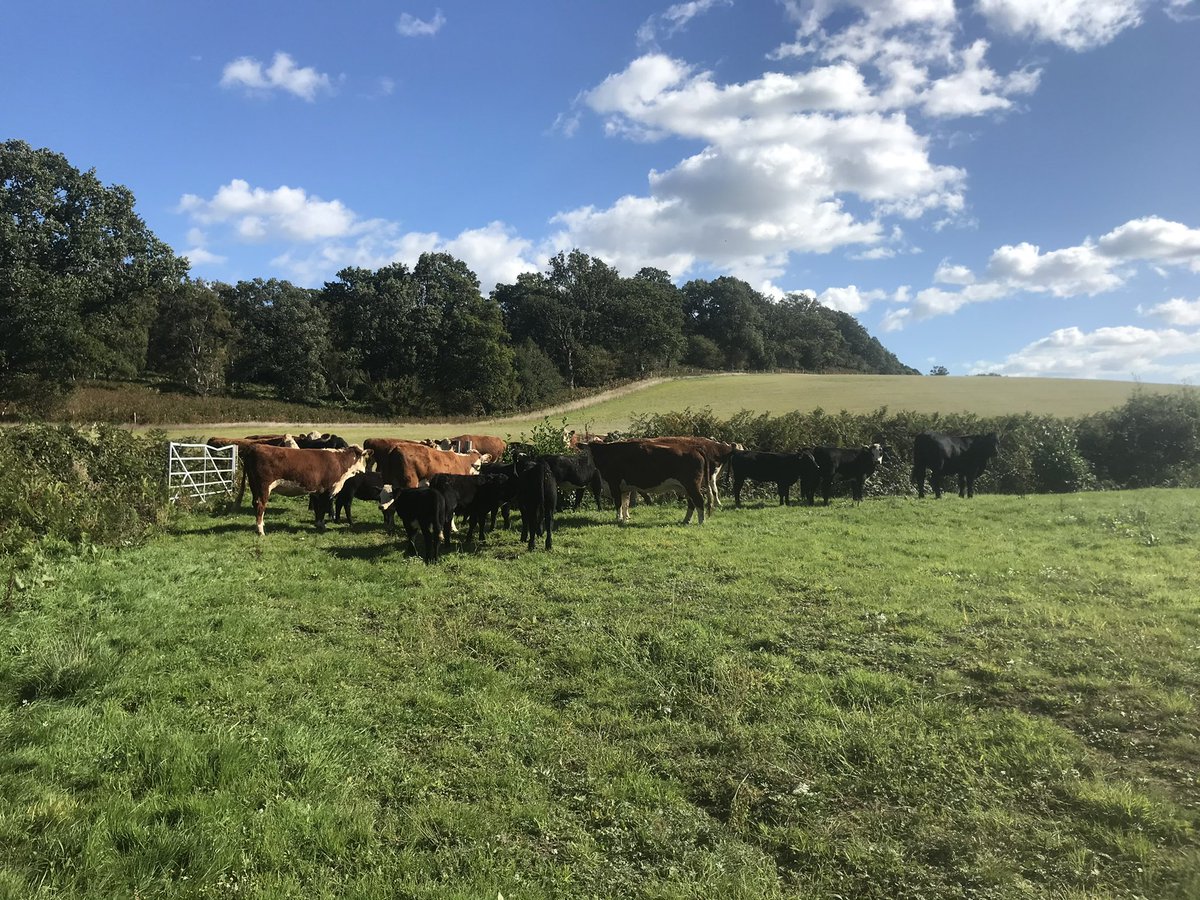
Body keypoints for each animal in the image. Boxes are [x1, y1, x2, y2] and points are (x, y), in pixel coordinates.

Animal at [239, 443, 370, 535]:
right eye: (364, 458)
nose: (365, 471)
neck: (339, 461)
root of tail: (255, 447)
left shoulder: (317, 491)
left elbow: (318, 508)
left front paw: (318, 524)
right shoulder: (327, 489)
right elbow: (323, 508)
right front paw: (322, 526)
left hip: (254, 486)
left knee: (255, 503)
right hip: (264, 486)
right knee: (261, 505)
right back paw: (261, 531)